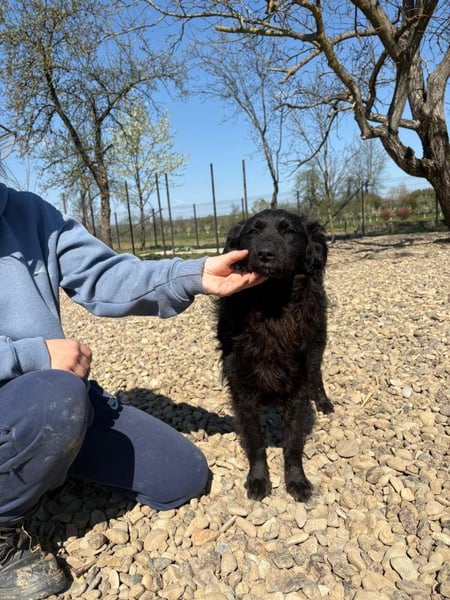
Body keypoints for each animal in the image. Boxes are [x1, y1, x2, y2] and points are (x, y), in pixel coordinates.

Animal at [216, 209, 334, 502]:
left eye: (288, 231)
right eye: (253, 231)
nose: (266, 254)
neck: (272, 301)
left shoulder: (298, 385)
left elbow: (293, 443)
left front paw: (297, 481)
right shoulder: (242, 385)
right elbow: (256, 441)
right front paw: (259, 479)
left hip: (317, 345)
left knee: (317, 373)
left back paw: (323, 401)